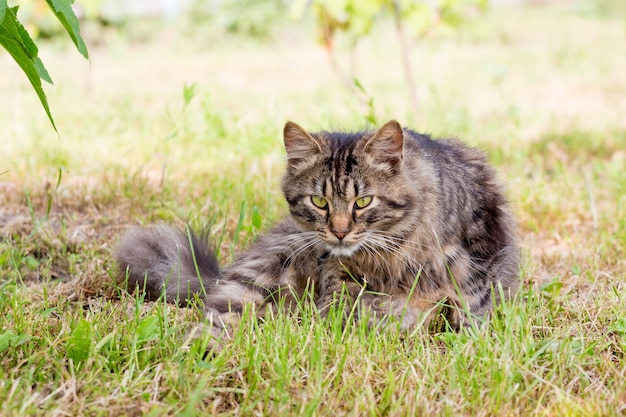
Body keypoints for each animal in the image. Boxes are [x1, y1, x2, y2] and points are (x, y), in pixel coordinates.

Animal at [114, 119, 520, 344]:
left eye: (363, 202)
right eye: (320, 202)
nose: (339, 232)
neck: (391, 250)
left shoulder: (477, 252)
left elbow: (473, 307)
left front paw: (471, 342)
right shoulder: (340, 271)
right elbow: (343, 307)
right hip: (257, 277)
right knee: (218, 317)